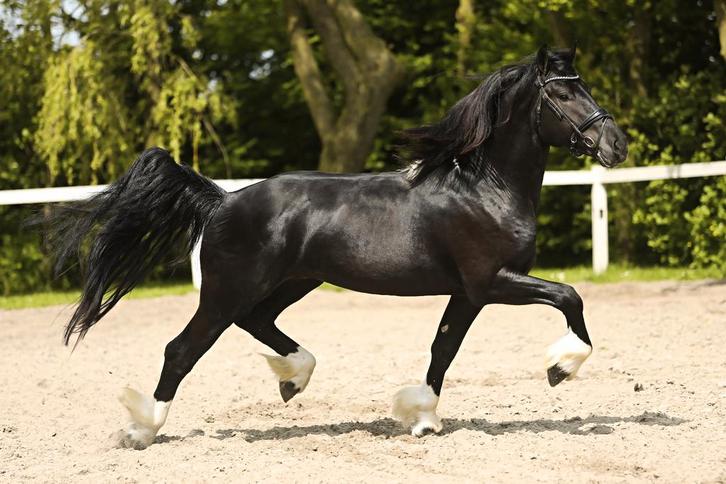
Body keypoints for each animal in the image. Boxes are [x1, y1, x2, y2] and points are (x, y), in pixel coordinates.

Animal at [47, 45, 627, 449]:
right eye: (563, 94)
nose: (616, 145)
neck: (485, 189)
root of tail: (222, 201)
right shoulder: (491, 282)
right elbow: (571, 296)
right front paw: (559, 369)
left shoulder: (467, 293)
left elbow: (442, 349)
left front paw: (421, 418)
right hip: (229, 290)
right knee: (182, 349)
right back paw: (143, 430)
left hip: (292, 282)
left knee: (256, 322)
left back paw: (293, 378)